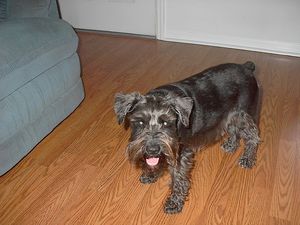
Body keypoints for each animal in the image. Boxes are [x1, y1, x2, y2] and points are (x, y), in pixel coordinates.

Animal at [114, 61, 260, 214]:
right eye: (140, 122)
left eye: (166, 122)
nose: (152, 149)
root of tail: (246, 67)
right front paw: (151, 174)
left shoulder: (181, 154)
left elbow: (179, 178)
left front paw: (174, 203)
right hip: (230, 116)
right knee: (234, 130)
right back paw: (231, 145)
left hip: (244, 115)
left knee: (253, 136)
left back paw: (248, 159)